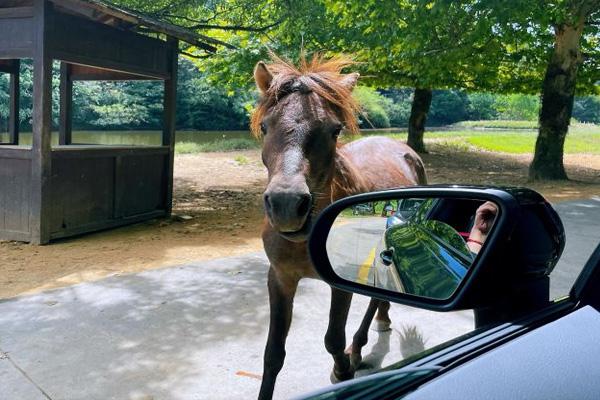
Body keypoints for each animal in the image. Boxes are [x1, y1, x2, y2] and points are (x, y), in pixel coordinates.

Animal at [253, 54, 426, 400]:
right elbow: (273, 353)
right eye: (265, 126)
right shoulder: (280, 277)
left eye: (334, 130)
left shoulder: (340, 280)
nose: (287, 204)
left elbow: (333, 338)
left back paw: (358, 348)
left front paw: (344, 369)